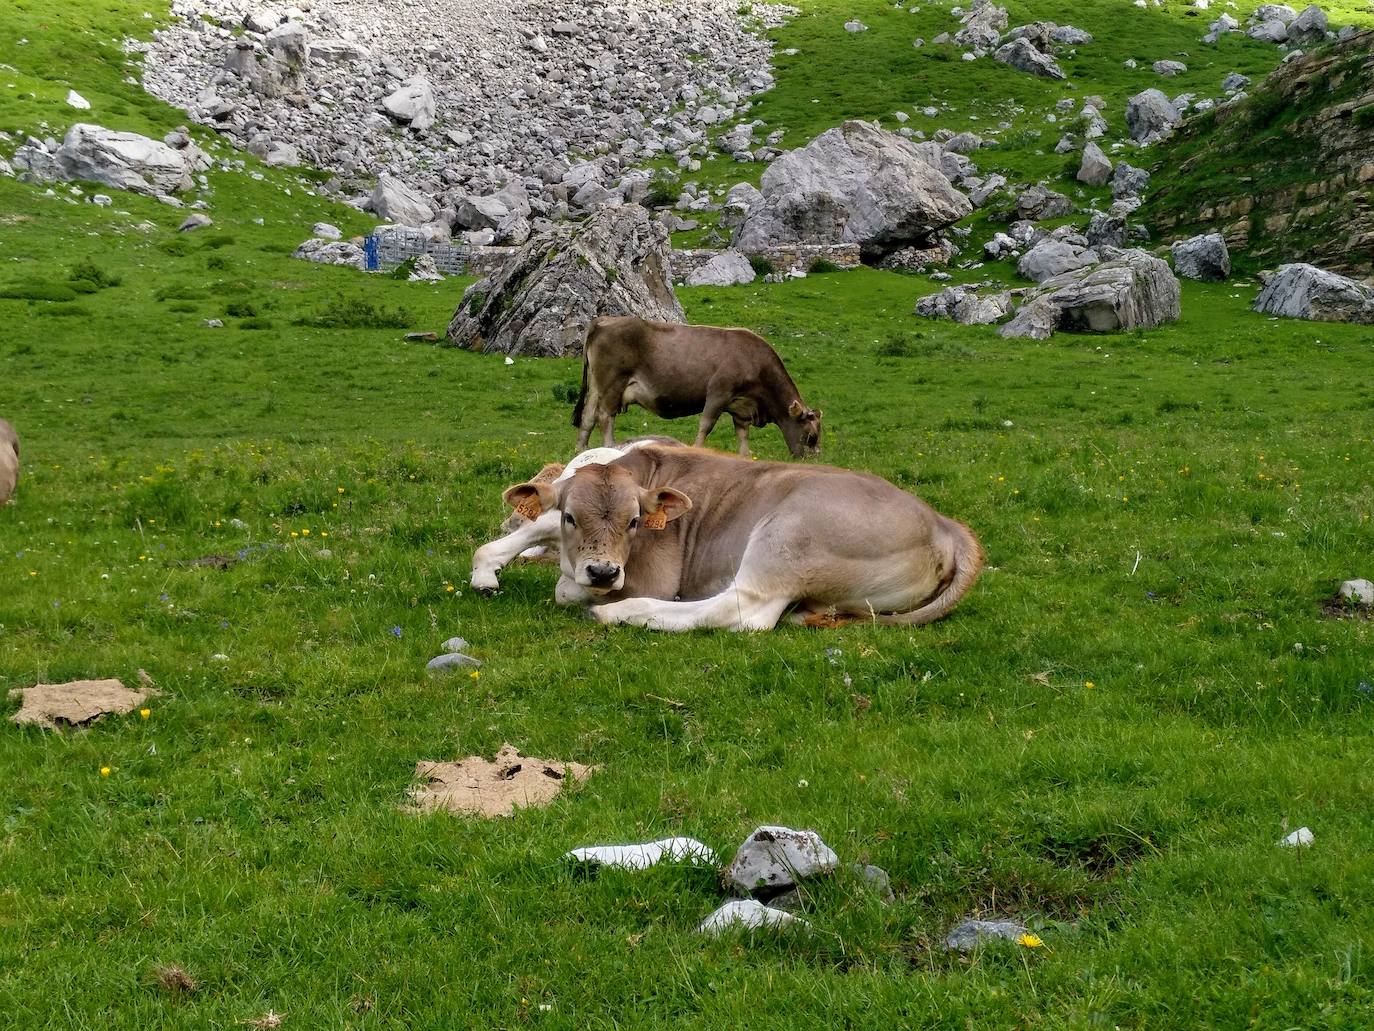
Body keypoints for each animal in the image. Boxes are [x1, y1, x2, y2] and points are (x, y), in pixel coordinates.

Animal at [480, 442, 978, 629]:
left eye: (635, 521)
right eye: (571, 517)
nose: (602, 572)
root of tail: (946, 524)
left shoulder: (652, 577)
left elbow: (564, 589)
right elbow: (538, 525)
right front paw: (488, 569)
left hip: (787, 534)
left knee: (742, 610)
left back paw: (617, 614)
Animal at [571, 314, 818, 459]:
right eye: (811, 436)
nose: (815, 458)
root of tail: (604, 320)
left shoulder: (741, 406)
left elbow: (742, 434)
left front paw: (745, 457)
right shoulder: (718, 392)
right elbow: (705, 425)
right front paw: (697, 450)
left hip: (597, 385)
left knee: (588, 415)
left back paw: (581, 449)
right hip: (613, 382)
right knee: (605, 416)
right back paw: (610, 447)